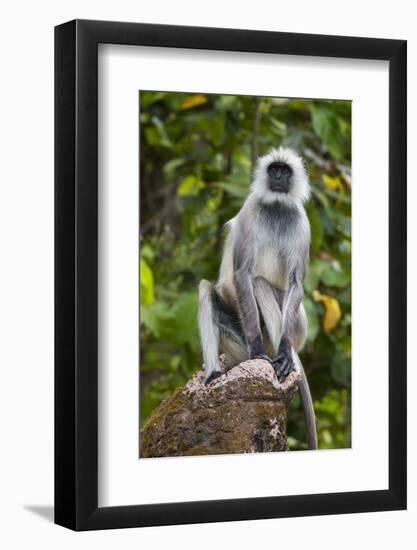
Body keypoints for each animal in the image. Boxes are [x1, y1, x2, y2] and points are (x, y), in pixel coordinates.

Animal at [197, 147, 316, 452]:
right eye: (274, 169)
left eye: (285, 171)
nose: (278, 177)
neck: (276, 207)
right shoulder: (252, 209)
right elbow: (241, 274)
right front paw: (256, 348)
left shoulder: (301, 220)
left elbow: (296, 282)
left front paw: (283, 351)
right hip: (237, 346)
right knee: (208, 289)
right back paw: (215, 372)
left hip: (299, 327)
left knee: (261, 284)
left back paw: (284, 359)